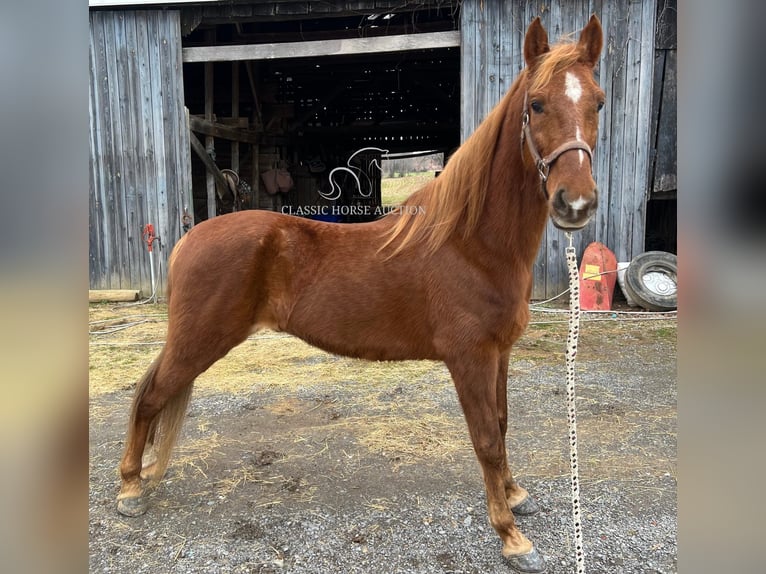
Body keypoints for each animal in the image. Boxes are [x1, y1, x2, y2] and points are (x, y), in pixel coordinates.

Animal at [117, 15, 608, 572]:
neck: (470, 242)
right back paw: (131, 489)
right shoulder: (469, 358)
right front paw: (511, 537)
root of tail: (188, 238)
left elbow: (502, 426)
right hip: (197, 343)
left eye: (598, 103)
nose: (576, 203)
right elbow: (485, 438)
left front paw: (515, 494)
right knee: (149, 398)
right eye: (537, 104)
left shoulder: (498, 354)